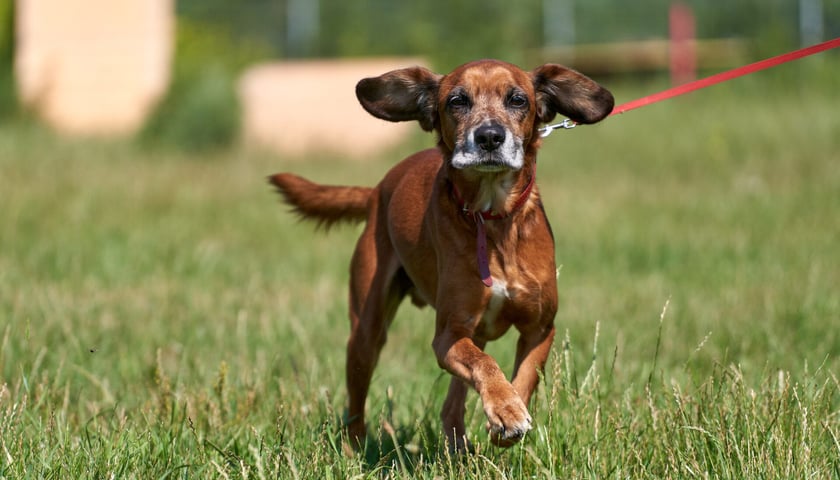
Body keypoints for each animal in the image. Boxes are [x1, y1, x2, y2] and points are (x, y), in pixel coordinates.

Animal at [270, 60, 612, 450]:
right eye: (457, 100)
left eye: (518, 99)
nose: (489, 136)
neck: (492, 218)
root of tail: (376, 191)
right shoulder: (448, 336)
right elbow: (484, 364)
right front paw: (506, 410)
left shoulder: (540, 328)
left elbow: (524, 378)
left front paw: (508, 413)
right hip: (367, 328)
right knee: (358, 398)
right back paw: (354, 447)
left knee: (451, 406)